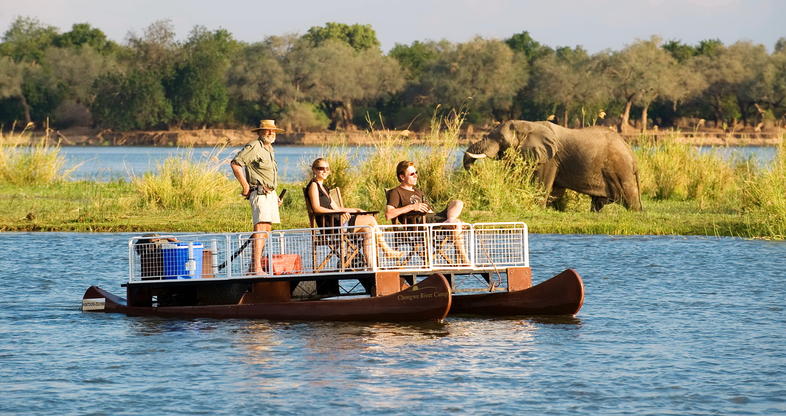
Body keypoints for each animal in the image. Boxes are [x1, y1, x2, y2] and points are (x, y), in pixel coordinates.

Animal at [462, 120, 640, 211]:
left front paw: (538, 208)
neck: (528, 124)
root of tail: (631, 154)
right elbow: (555, 191)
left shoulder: (550, 158)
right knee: (599, 202)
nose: (475, 172)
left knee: (629, 196)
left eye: (501, 139)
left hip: (620, 168)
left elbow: (543, 185)